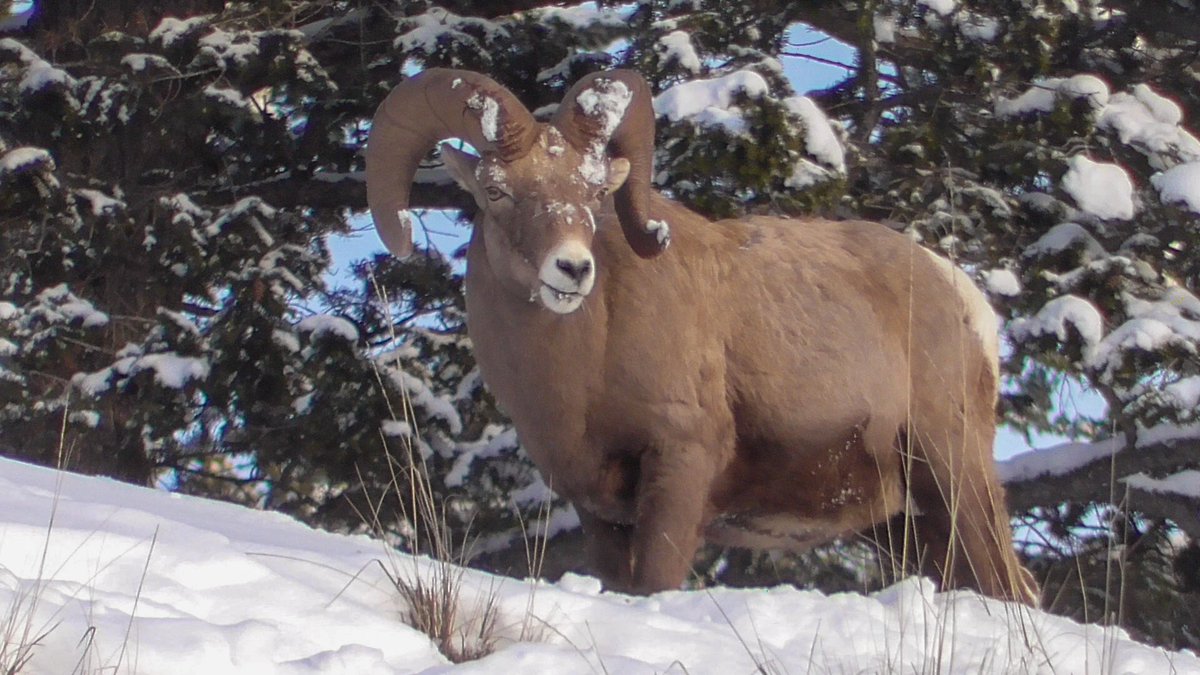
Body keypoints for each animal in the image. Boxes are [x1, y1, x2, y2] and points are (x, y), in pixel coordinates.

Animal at [365, 68, 1039, 604]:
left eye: (593, 192)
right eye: (496, 190)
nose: (572, 269)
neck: (581, 375)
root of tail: (965, 298)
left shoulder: (679, 469)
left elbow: (654, 586)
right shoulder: (598, 512)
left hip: (955, 473)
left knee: (1009, 586)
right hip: (905, 523)